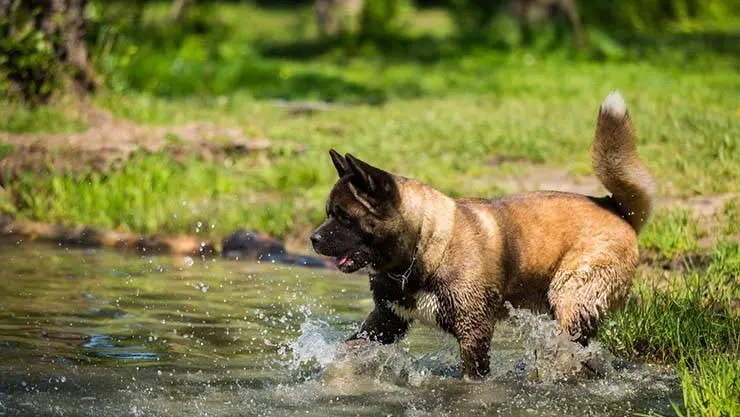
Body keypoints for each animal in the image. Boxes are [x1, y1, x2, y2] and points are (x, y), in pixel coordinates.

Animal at [310, 91, 656, 376]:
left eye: (344, 216)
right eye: (328, 212)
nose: (313, 239)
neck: (425, 246)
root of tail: (612, 207)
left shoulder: (473, 333)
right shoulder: (385, 322)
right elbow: (349, 348)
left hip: (571, 298)